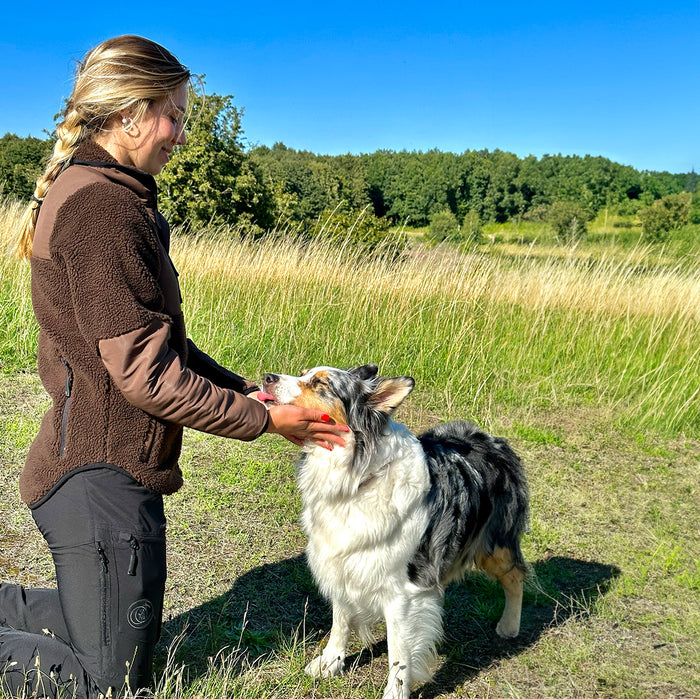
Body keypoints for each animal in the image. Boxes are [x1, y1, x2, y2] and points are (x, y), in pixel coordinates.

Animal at [260, 366, 528, 699]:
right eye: (302, 373)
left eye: (320, 383)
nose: (267, 377)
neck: (357, 478)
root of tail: (492, 439)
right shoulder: (343, 562)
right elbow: (340, 621)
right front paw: (330, 662)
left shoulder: (403, 594)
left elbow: (399, 654)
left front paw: (395, 692)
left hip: (495, 545)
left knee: (516, 576)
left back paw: (510, 625)